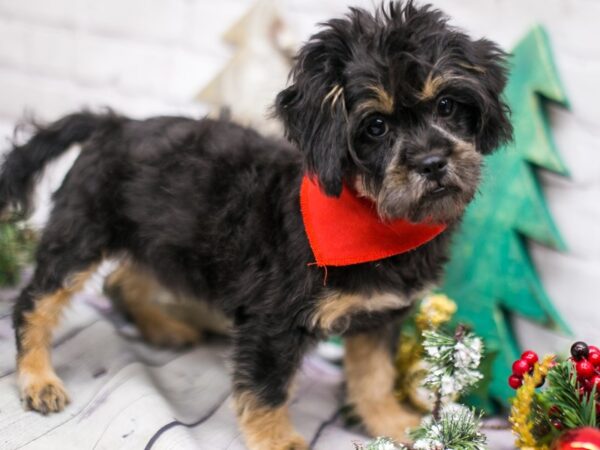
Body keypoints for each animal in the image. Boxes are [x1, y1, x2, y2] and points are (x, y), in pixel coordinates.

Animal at [0, 1, 510, 448]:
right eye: (376, 127)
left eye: (446, 105)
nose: (433, 163)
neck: (375, 219)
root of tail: (112, 124)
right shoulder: (272, 322)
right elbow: (268, 389)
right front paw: (277, 440)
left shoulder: (380, 318)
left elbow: (376, 378)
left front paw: (392, 423)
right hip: (80, 236)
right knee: (33, 302)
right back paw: (37, 378)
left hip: (164, 239)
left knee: (123, 280)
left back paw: (161, 327)